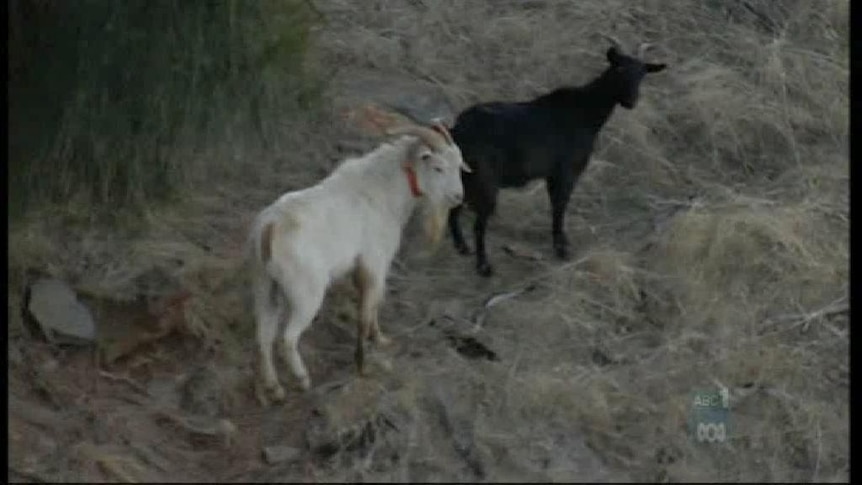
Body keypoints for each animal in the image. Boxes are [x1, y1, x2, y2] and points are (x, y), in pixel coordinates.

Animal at [250, 119, 472, 402]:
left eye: (459, 164)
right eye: (438, 167)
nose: (458, 197)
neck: (383, 190)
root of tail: (270, 227)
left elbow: (373, 302)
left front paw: (380, 340)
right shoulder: (375, 262)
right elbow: (369, 307)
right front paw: (363, 362)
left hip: (265, 286)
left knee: (263, 335)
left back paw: (274, 388)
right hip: (305, 293)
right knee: (287, 338)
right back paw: (302, 379)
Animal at [448, 39, 664, 274]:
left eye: (642, 74)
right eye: (619, 68)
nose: (630, 102)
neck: (585, 113)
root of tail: (458, 130)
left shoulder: (552, 175)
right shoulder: (566, 171)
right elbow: (559, 208)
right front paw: (562, 250)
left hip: (464, 176)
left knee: (453, 206)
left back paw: (462, 247)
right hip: (485, 181)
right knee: (478, 224)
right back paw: (484, 267)